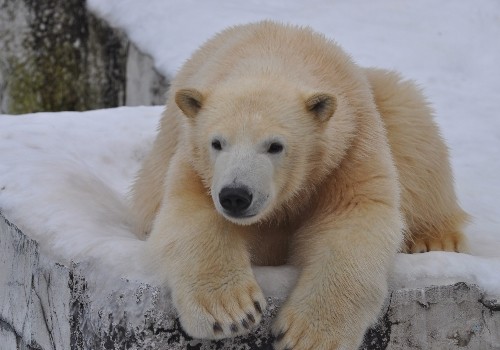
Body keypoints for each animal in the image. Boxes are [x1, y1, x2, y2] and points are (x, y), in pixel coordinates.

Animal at [132, 21, 468, 350]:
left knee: (414, 132)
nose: (236, 196)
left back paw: (433, 239)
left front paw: (307, 335)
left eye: (275, 146)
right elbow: (192, 213)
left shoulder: (348, 152)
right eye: (217, 142)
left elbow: (352, 222)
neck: (274, 57)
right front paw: (231, 314)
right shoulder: (195, 164)